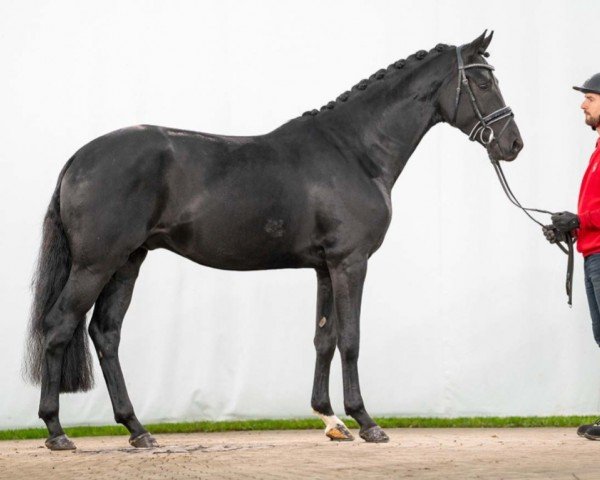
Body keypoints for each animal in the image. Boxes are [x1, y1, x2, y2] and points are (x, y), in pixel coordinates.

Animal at [24, 31, 520, 452]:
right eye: (481, 81)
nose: (513, 143)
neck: (354, 151)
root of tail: (79, 159)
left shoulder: (325, 267)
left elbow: (324, 337)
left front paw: (330, 420)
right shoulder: (350, 262)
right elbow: (351, 338)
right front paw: (366, 422)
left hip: (128, 261)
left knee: (105, 333)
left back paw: (137, 430)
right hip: (96, 263)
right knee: (60, 325)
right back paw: (57, 431)